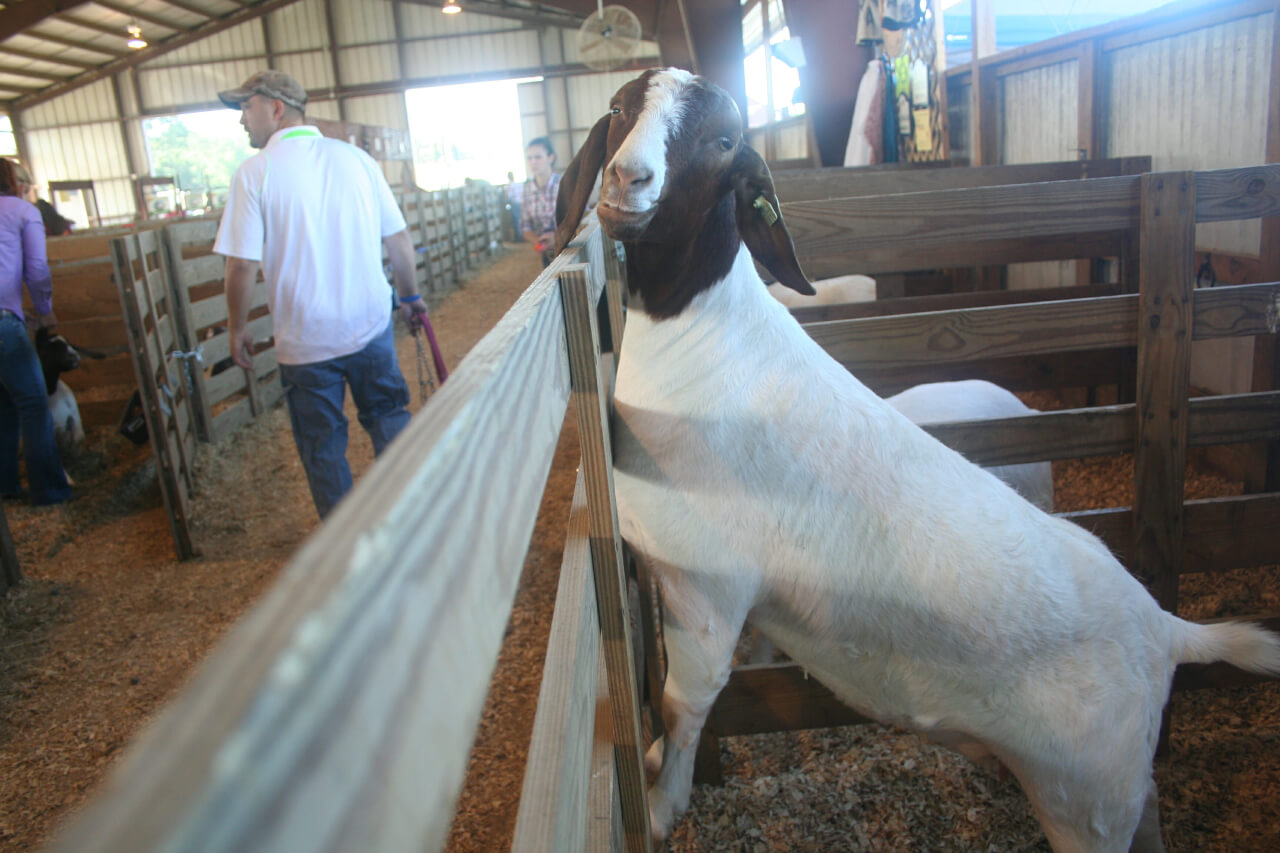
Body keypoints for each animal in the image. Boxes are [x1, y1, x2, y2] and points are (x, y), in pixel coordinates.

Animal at [555, 68, 1280, 852]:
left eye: (722, 141)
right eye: (618, 108)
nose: (628, 179)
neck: (703, 344)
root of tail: (1169, 632)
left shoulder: (706, 587)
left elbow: (684, 705)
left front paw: (662, 803)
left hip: (1087, 799)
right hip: (1116, 793)